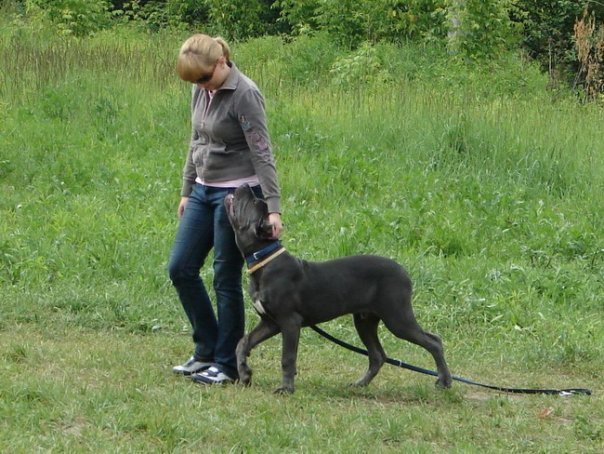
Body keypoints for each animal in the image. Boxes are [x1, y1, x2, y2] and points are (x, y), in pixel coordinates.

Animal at [224, 185, 450, 394]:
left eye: (253, 202)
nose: (243, 186)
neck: (263, 260)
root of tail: (404, 272)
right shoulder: (270, 322)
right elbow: (243, 342)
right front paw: (245, 373)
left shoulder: (289, 321)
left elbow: (287, 357)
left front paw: (286, 388)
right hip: (365, 320)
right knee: (378, 355)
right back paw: (360, 384)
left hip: (397, 317)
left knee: (433, 341)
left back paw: (444, 381)